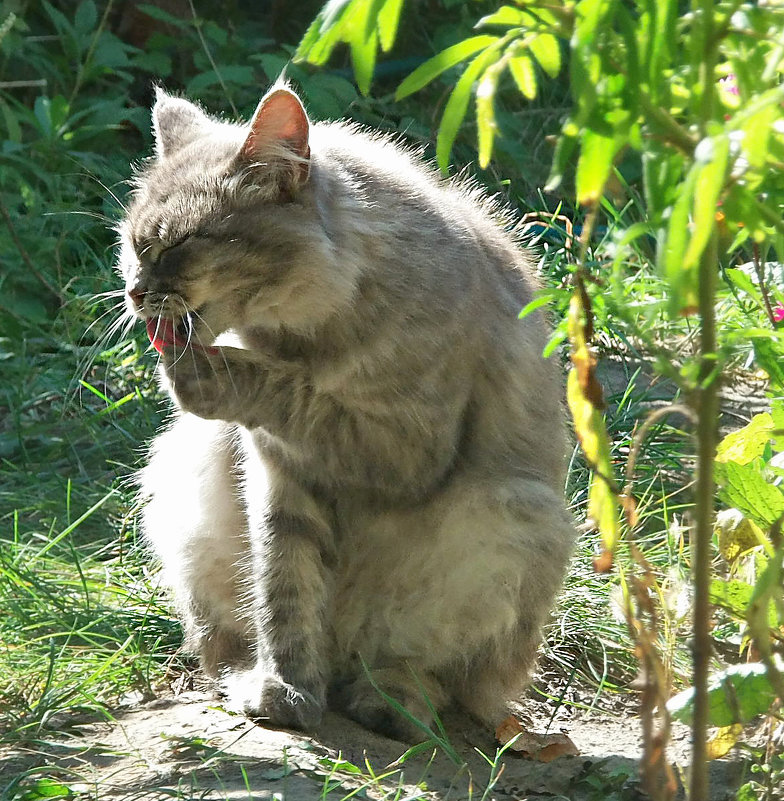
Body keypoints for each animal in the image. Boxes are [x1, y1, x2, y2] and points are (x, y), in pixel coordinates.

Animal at [116, 84, 572, 740]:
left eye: (177, 245)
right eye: (134, 246)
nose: (133, 292)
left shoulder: (407, 449)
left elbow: (300, 398)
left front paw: (212, 376)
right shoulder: (276, 476)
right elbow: (285, 588)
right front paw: (286, 691)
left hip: (511, 511)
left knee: (428, 670)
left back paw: (390, 700)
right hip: (184, 472)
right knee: (231, 638)